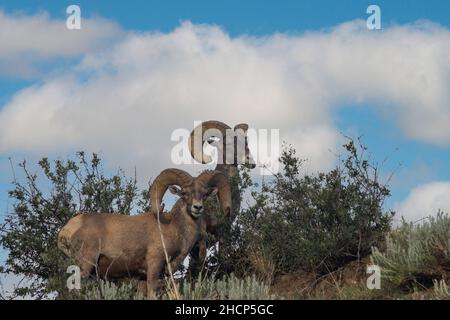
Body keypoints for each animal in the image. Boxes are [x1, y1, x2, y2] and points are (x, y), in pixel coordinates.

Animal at [58, 169, 232, 296]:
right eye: (184, 193)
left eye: (204, 194)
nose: (197, 207)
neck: (174, 228)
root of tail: (68, 229)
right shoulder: (154, 265)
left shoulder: (144, 276)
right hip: (84, 265)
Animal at [187, 121, 256, 272]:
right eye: (228, 143)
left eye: (245, 141)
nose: (250, 161)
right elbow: (202, 257)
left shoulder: (225, 228)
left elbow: (223, 254)